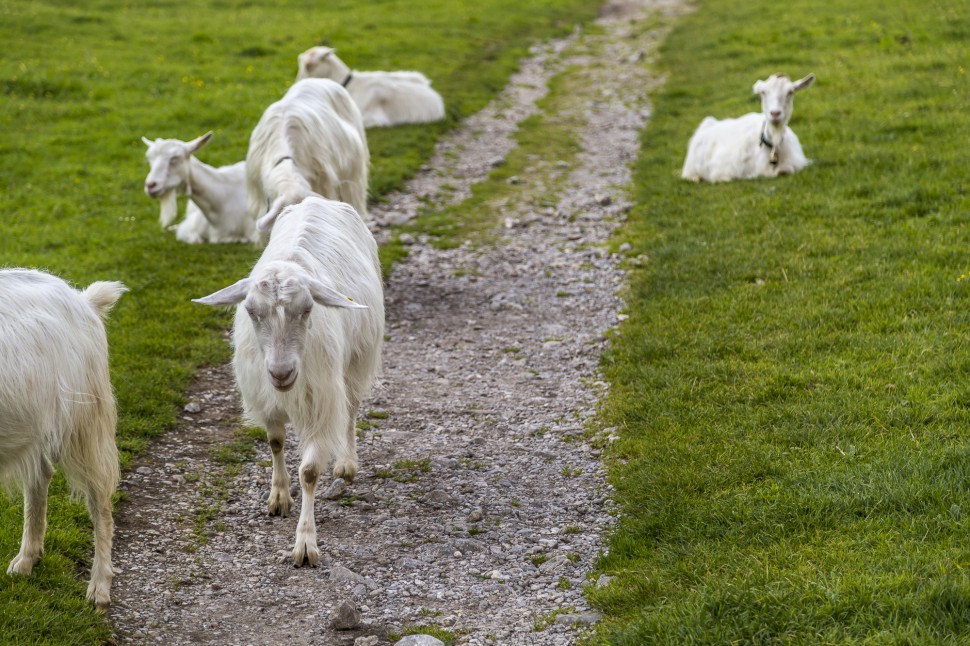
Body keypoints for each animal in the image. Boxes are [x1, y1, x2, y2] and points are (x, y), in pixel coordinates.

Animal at [0, 270, 126, 612]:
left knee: (100, 500)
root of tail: (84, 300)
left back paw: (99, 588)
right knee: (41, 475)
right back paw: (27, 559)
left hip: (87, 419)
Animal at [193, 196, 382, 568]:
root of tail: (315, 199)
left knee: (352, 407)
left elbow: (308, 472)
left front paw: (305, 544)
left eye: (308, 309)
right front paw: (278, 497)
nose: (281, 373)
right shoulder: (265, 397)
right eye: (251, 311)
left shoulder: (322, 400)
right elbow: (275, 442)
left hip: (357, 360)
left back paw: (346, 464)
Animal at [680, 74, 816, 185]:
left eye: (790, 92)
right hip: (692, 167)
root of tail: (709, 123)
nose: (775, 113)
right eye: (763, 92)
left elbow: (787, 170)